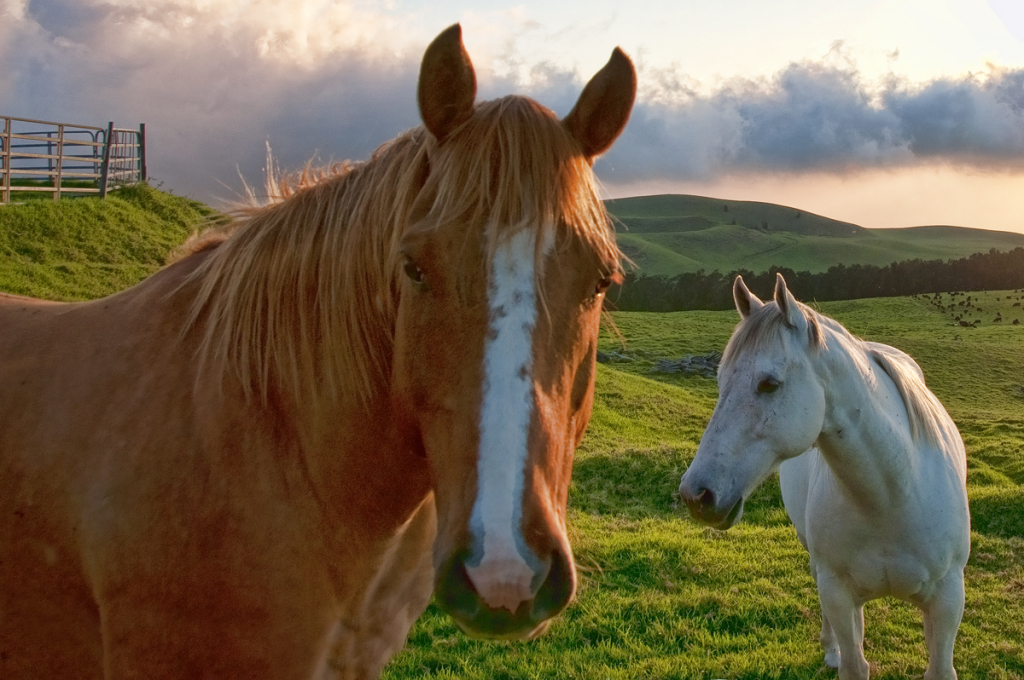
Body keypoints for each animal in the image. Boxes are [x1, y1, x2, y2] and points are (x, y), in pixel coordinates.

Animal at [679, 274, 966, 680]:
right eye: (720, 381)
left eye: (769, 384)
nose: (696, 495)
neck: (894, 494)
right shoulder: (838, 594)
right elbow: (853, 663)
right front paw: (837, 652)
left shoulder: (947, 601)